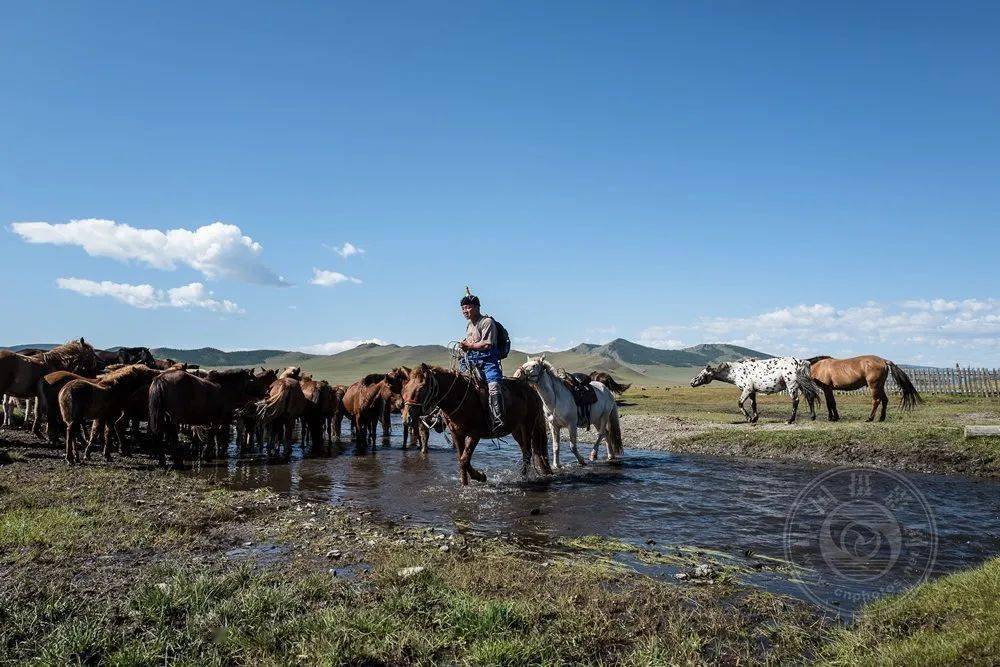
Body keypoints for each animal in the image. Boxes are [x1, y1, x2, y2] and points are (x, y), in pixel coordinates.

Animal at [400, 366, 556, 486]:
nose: (407, 418)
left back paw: (524, 477)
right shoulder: (457, 434)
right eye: (405, 388)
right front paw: (466, 484)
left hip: (528, 425)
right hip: (516, 430)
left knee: (528, 452)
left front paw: (479, 477)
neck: (460, 397)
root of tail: (532, 390)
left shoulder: (475, 434)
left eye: (421, 388)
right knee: (526, 450)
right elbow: (462, 459)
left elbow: (464, 459)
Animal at [692, 358, 824, 426]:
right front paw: (755, 418)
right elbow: (753, 404)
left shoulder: (747, 389)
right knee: (810, 398)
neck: (736, 371)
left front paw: (749, 419)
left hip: (792, 385)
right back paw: (812, 417)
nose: (692, 382)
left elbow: (740, 403)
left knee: (795, 401)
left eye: (702, 374)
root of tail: (801, 362)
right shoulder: (752, 391)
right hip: (801, 385)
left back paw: (790, 420)